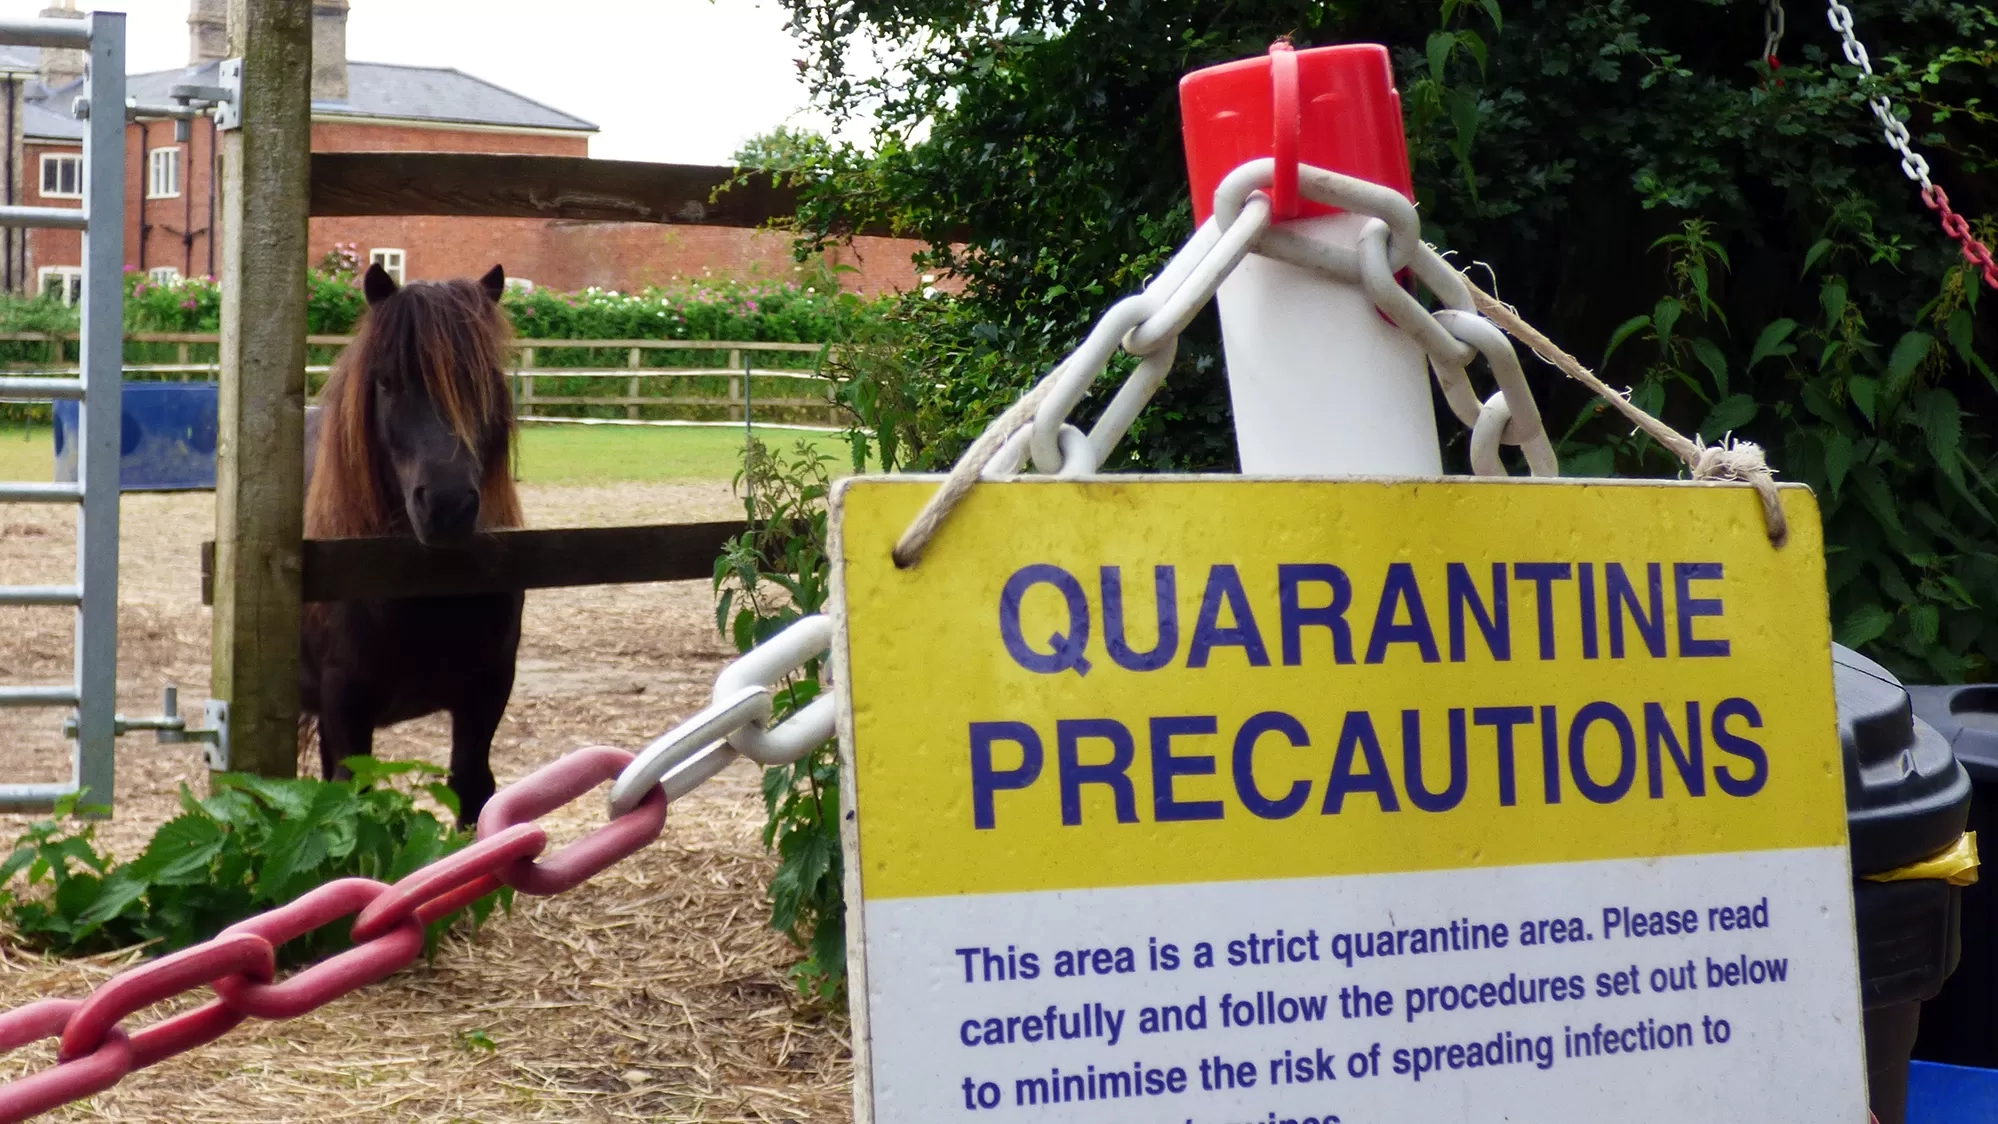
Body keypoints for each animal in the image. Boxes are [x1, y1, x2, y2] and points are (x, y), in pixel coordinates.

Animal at [299, 263, 523, 822]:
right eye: (387, 381)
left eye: (483, 380)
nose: (447, 505)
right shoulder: (345, 702)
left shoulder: (487, 690)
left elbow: (473, 787)